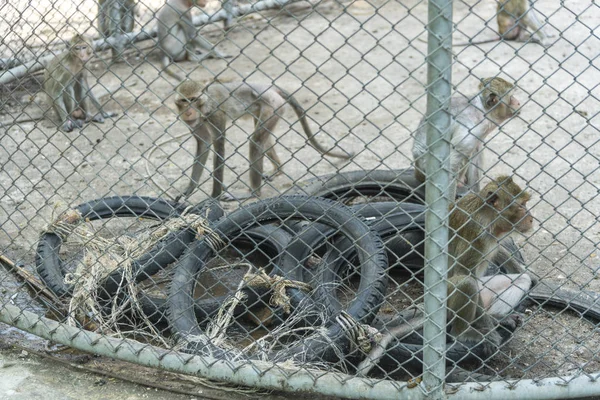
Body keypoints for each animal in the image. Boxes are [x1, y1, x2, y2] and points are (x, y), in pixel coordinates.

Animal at [171, 79, 354, 202]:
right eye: (183, 101)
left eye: (193, 100)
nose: (188, 112)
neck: (205, 105)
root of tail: (267, 87)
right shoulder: (194, 121)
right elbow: (204, 143)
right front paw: (189, 189)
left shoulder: (216, 114)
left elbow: (219, 146)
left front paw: (214, 197)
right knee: (264, 140)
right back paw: (277, 169)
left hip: (273, 105)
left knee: (256, 141)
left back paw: (253, 193)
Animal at [356, 175, 536, 376]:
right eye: (521, 206)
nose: (530, 219)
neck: (488, 216)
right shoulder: (476, 233)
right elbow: (463, 273)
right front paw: (489, 332)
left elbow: (502, 254)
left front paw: (526, 273)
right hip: (448, 300)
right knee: (467, 283)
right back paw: (466, 332)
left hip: (484, 292)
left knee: (519, 281)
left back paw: (497, 317)